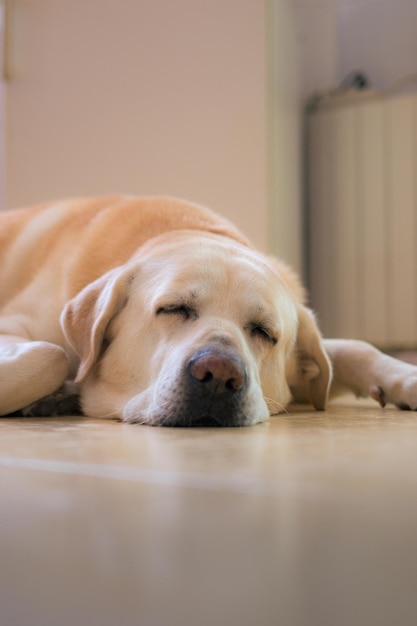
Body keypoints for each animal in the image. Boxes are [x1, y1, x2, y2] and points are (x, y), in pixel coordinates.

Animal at [0, 195, 416, 426]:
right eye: (172, 309)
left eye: (265, 332)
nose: (219, 376)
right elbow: (50, 356)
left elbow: (351, 348)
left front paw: (405, 378)